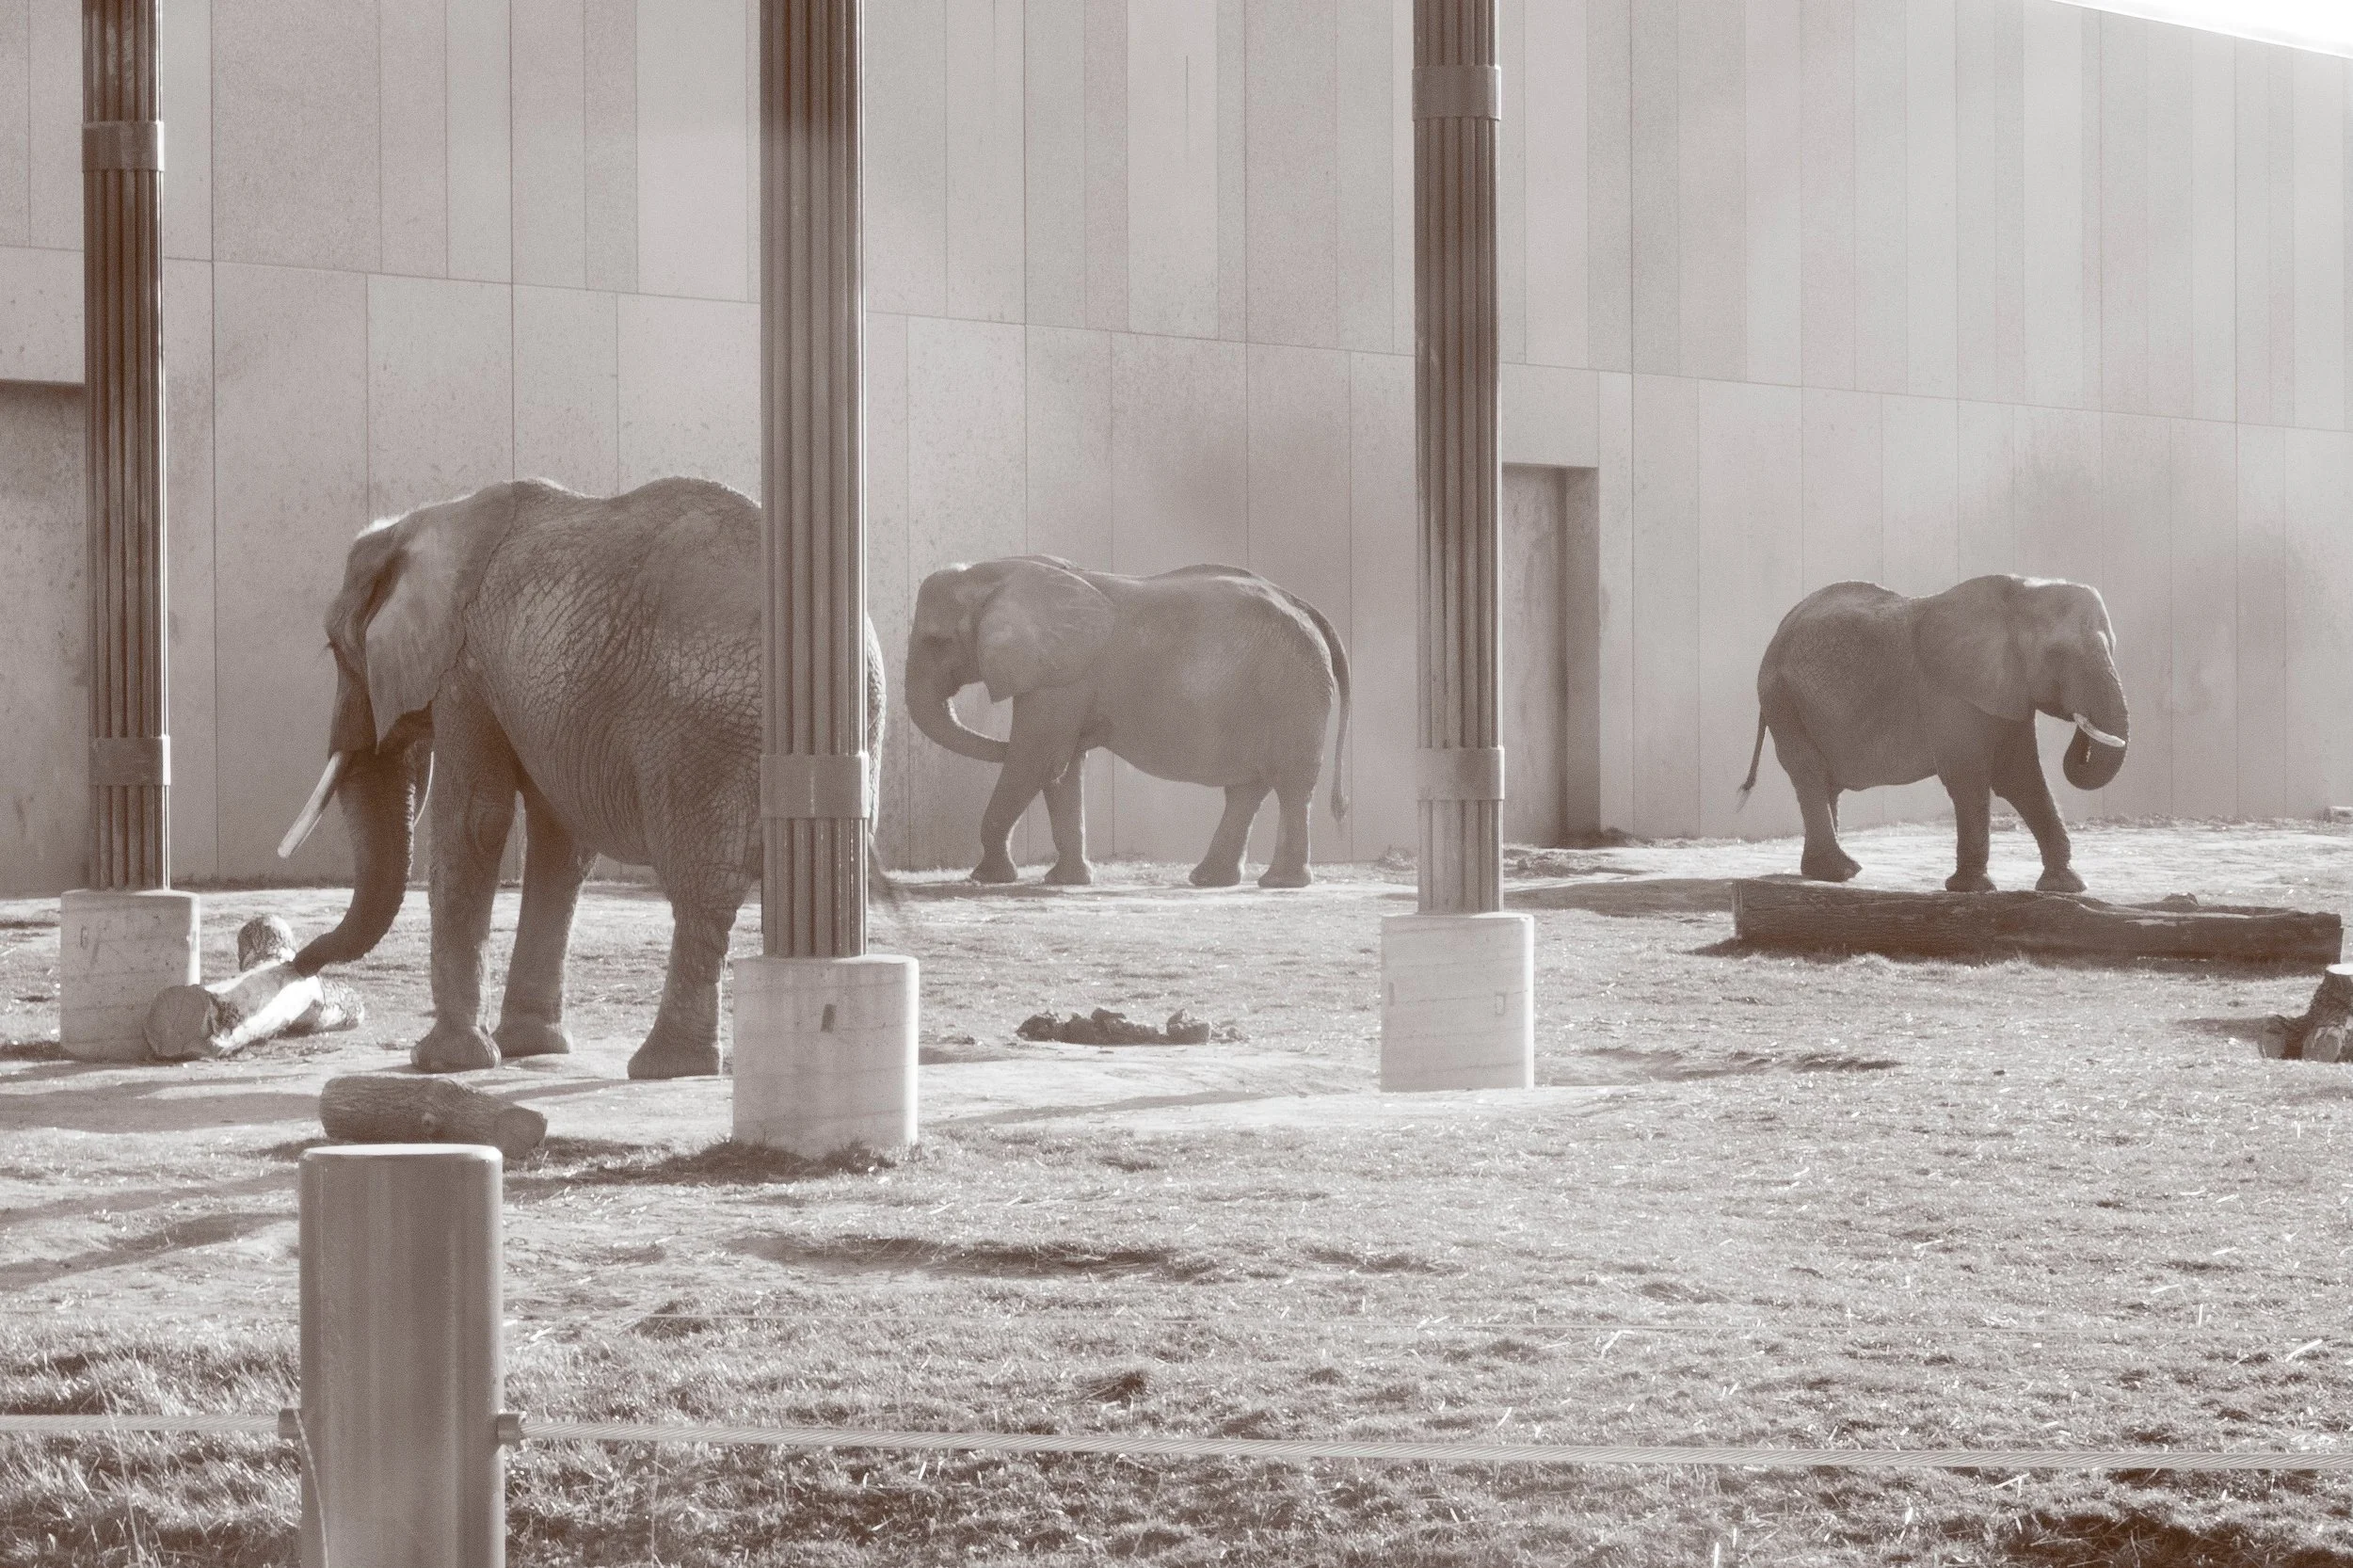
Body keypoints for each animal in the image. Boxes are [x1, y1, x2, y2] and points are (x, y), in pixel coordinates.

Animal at [277, 477, 886, 1078]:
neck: (423, 521)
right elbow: (560, 842)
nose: (298, 965)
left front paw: (439, 1062)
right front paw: (528, 1049)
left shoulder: (465, 670)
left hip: (702, 743)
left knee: (701, 891)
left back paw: (665, 1066)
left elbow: (474, 822)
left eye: (337, 649)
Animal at [905, 556, 1350, 889]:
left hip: (1294, 691)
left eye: (937, 641)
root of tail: (1308, 609)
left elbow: (1038, 759)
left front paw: (987, 879)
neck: (995, 574)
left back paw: (1280, 882)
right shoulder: (1064, 676)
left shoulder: (1063, 676)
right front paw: (1066, 881)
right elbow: (1062, 766)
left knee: (1290, 785)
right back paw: (1211, 880)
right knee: (1247, 790)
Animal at [1736, 574, 2129, 893]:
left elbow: (2021, 777)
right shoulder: (1950, 692)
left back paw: (1828, 871)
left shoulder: (2004, 690)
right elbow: (1969, 777)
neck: (2017, 596)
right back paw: (1839, 873)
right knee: (1810, 773)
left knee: (1823, 781)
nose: (2082, 722)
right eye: (2058, 654)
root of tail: (1777, 633)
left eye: (2113, 645)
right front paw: (1972, 889)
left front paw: (2067, 885)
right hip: (1781, 698)